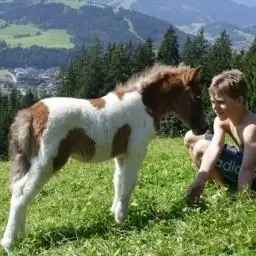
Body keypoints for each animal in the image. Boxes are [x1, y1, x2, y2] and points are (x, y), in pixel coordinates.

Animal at [1, 63, 207, 252]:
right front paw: (122, 219)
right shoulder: (136, 151)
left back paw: (21, 235)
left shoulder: (121, 155)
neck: (145, 104)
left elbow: (118, 181)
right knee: (22, 191)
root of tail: (30, 113)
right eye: (197, 96)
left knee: (21, 191)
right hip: (47, 161)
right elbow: (130, 182)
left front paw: (114, 213)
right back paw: (9, 243)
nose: (203, 128)